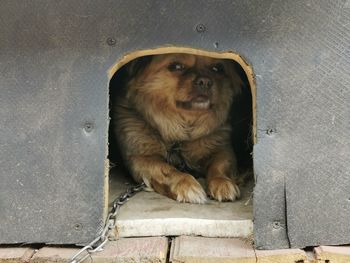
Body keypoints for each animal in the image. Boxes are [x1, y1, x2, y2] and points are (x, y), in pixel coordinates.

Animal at [113, 53, 245, 204]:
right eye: (176, 66)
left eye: (217, 69)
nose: (205, 81)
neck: (182, 130)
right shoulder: (140, 158)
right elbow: (167, 169)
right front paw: (187, 184)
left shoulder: (223, 149)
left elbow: (218, 166)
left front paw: (222, 182)